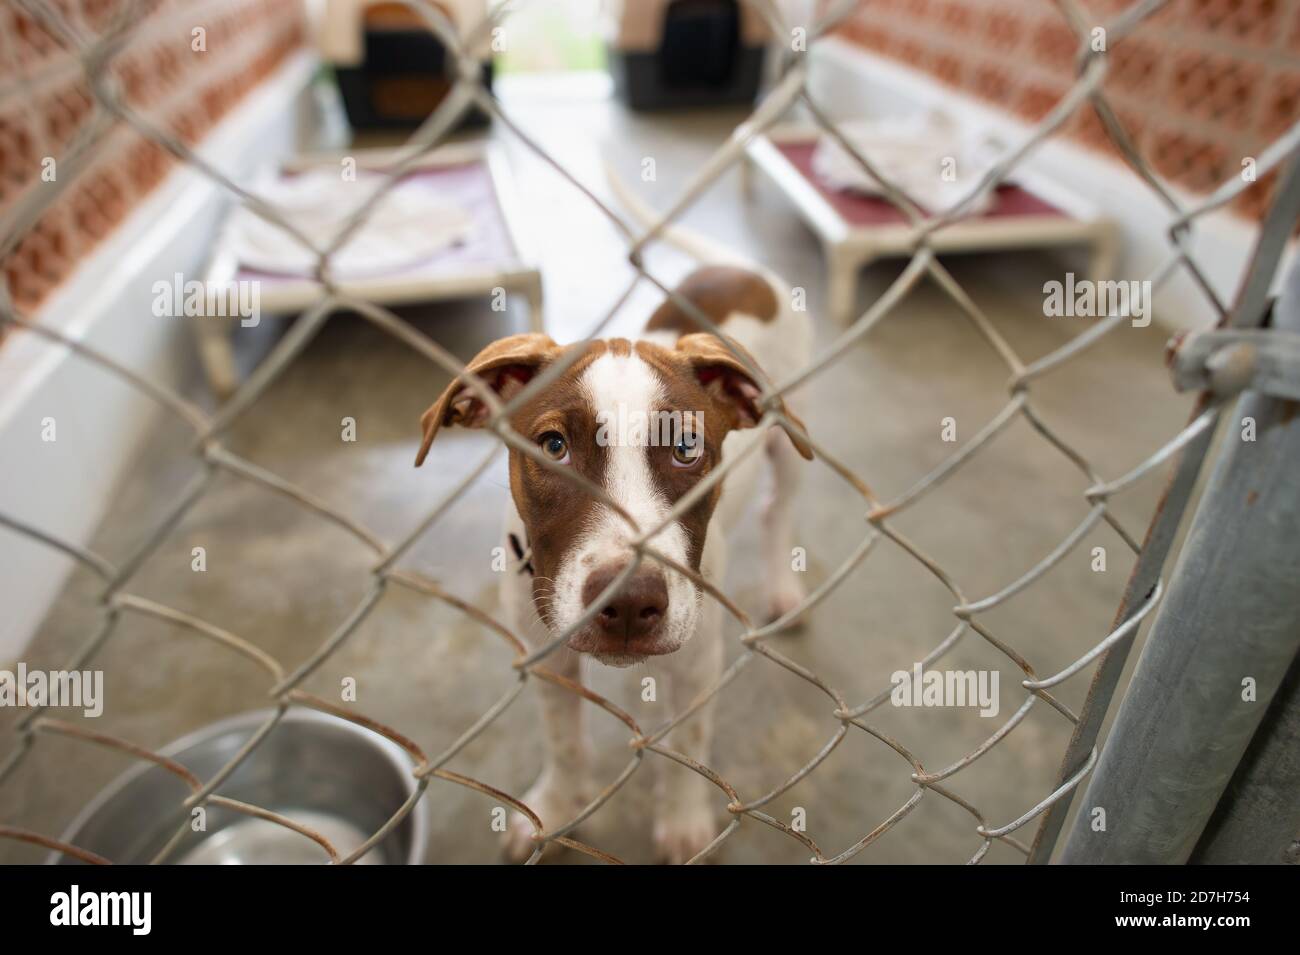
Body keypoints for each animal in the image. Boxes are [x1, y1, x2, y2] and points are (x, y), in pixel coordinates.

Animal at [413, 179, 811, 867]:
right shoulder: (543, 655)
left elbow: (687, 746)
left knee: (777, 508)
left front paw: (683, 820)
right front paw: (554, 806)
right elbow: (565, 743)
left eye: (687, 448)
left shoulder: (696, 660)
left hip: (790, 436)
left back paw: (784, 589)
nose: (627, 604)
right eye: (552, 447)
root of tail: (737, 268)